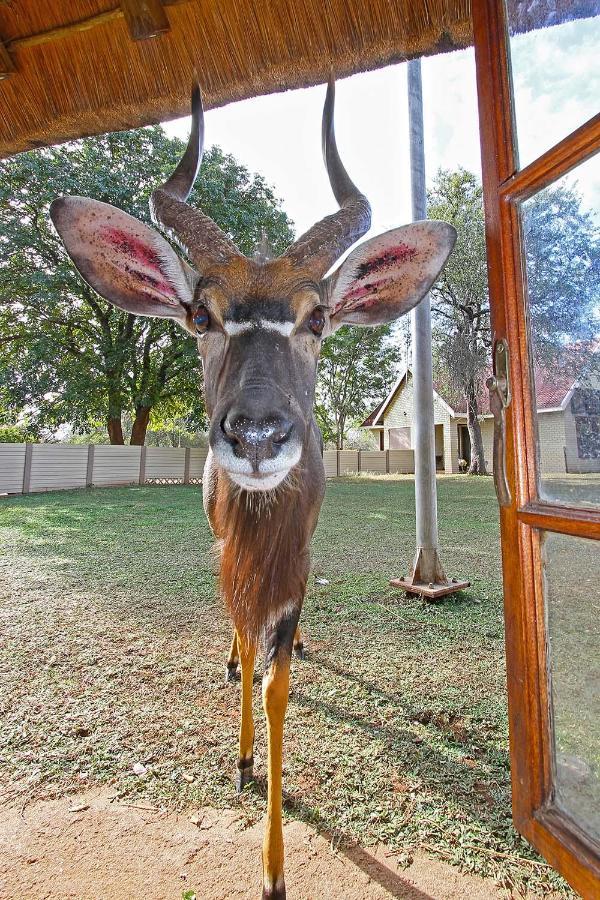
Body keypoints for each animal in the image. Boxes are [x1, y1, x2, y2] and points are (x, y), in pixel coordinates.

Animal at [50, 79, 454, 900]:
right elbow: (243, 636)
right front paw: (240, 763)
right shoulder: (231, 555)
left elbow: (280, 682)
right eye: (200, 315)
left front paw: (274, 868)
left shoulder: (294, 571)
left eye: (318, 317)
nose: (260, 435)